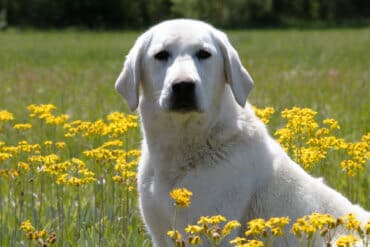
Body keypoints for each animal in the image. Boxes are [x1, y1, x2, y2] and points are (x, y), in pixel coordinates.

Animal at [115, 18, 368, 246]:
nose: (183, 86)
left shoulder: (211, 229)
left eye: (204, 54)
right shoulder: (160, 231)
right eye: (161, 55)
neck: (183, 145)